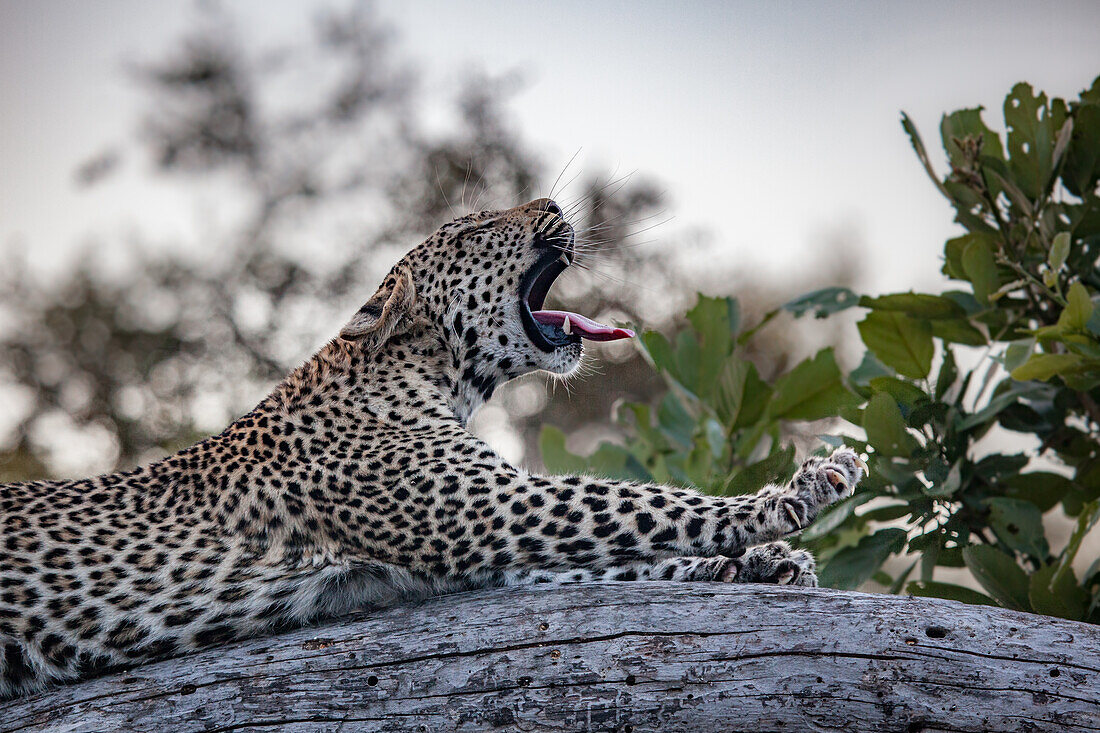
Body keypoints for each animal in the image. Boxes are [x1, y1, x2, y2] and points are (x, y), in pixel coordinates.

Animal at [0, 198, 862, 695]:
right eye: (475, 230)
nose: (553, 200)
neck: (435, 378)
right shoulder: (494, 506)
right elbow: (641, 503)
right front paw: (802, 491)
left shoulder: (470, 547)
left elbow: (614, 560)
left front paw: (758, 564)